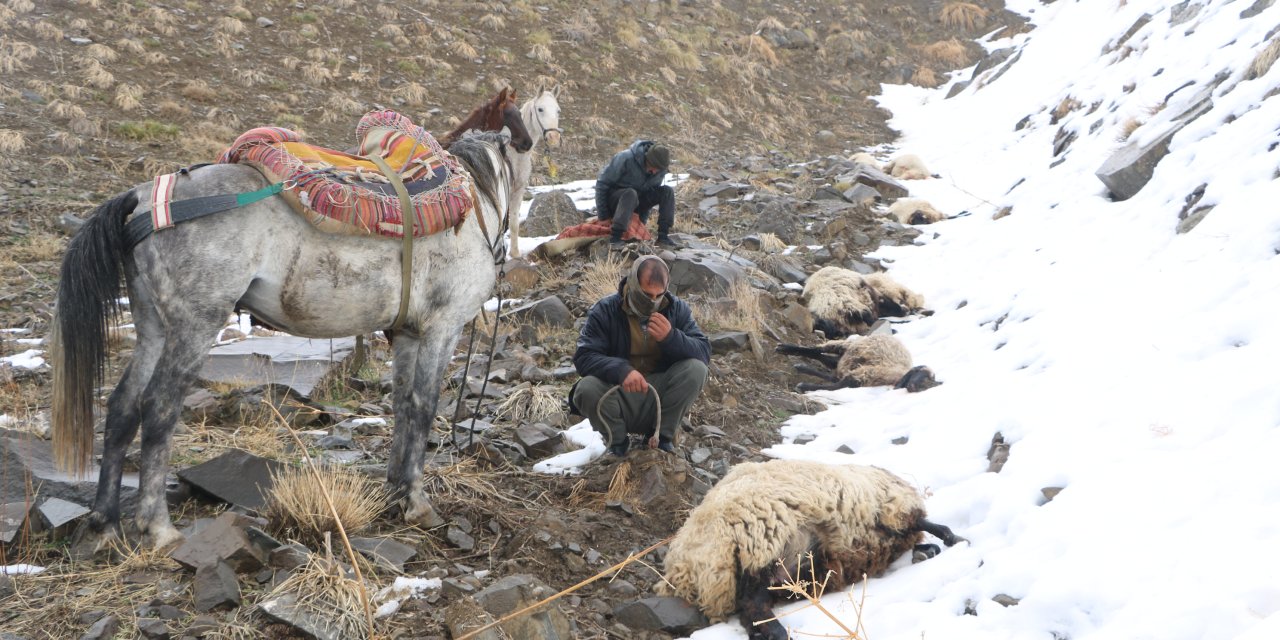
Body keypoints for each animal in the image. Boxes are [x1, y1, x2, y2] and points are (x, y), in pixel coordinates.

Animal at [51, 131, 509, 555]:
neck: (477, 204)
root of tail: (144, 197)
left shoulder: (409, 334)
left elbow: (402, 407)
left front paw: (395, 491)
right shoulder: (441, 329)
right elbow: (423, 407)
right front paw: (417, 502)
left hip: (153, 326)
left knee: (123, 406)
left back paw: (104, 525)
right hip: (194, 325)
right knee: (159, 407)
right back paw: (158, 528)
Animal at [506, 82, 563, 257]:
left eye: (558, 110)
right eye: (540, 109)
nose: (553, 138)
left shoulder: (518, 190)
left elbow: (514, 224)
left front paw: (515, 254)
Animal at [660, 460, 962, 640]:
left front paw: (930, 548)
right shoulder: (892, 510)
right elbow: (931, 525)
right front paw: (953, 539)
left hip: (792, 566)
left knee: (753, 606)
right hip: (764, 541)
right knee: (751, 604)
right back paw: (778, 633)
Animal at [768, 332, 942, 391]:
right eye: (922, 375)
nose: (913, 387)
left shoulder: (860, 376)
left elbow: (837, 384)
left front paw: (804, 384)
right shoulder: (863, 373)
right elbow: (837, 384)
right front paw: (804, 385)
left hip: (848, 360)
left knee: (828, 361)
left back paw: (800, 366)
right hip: (849, 346)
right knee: (817, 350)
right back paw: (784, 348)